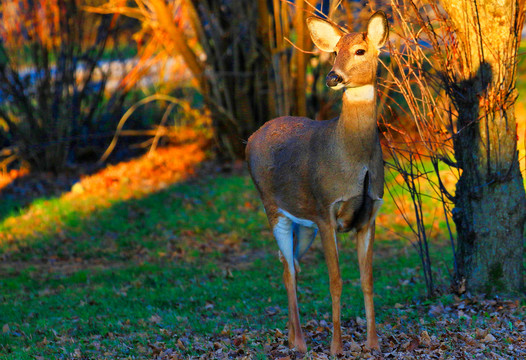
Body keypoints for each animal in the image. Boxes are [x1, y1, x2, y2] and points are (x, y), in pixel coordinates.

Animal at [245, 11, 390, 354]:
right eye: (334, 51)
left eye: (360, 51)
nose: (332, 78)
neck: (354, 159)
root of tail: (250, 137)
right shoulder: (326, 211)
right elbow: (335, 280)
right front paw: (336, 347)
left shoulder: (369, 215)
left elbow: (367, 279)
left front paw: (373, 343)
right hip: (273, 209)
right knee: (288, 270)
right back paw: (299, 341)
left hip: (303, 222)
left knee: (291, 264)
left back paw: (290, 334)